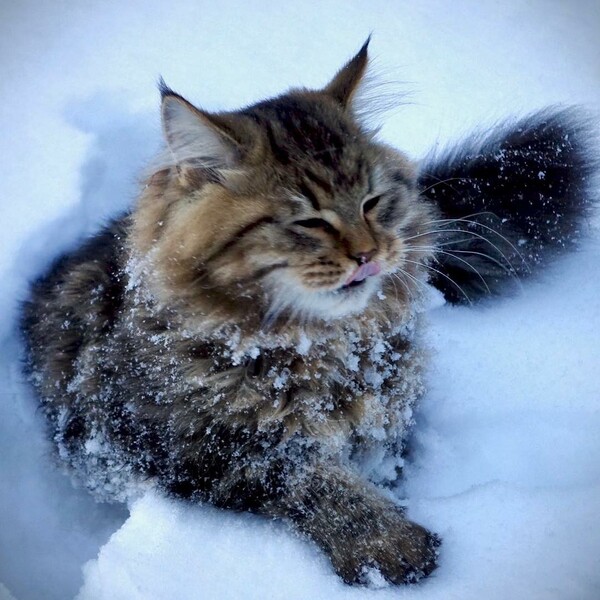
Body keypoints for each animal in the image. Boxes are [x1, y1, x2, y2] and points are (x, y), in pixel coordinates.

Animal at [19, 39, 596, 584]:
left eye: (371, 203)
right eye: (311, 222)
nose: (367, 253)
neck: (323, 346)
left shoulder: (391, 414)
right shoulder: (185, 449)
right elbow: (314, 481)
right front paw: (392, 550)